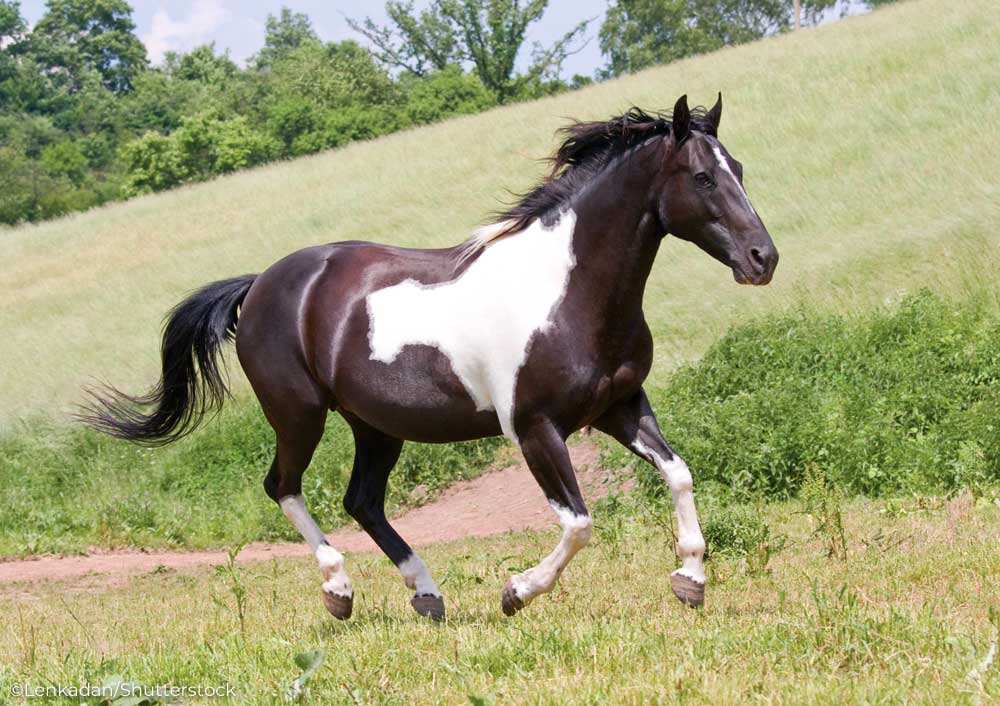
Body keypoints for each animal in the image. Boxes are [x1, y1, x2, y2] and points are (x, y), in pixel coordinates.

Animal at [80, 95, 780, 620]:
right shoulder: (534, 427)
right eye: (702, 177)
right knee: (283, 486)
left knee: (362, 501)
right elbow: (578, 523)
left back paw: (427, 595)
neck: (569, 291)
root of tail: (260, 286)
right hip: (299, 414)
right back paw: (339, 591)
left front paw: (690, 579)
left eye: (742, 169)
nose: (763, 259)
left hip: (376, 425)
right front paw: (515, 592)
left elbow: (679, 473)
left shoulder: (621, 406)